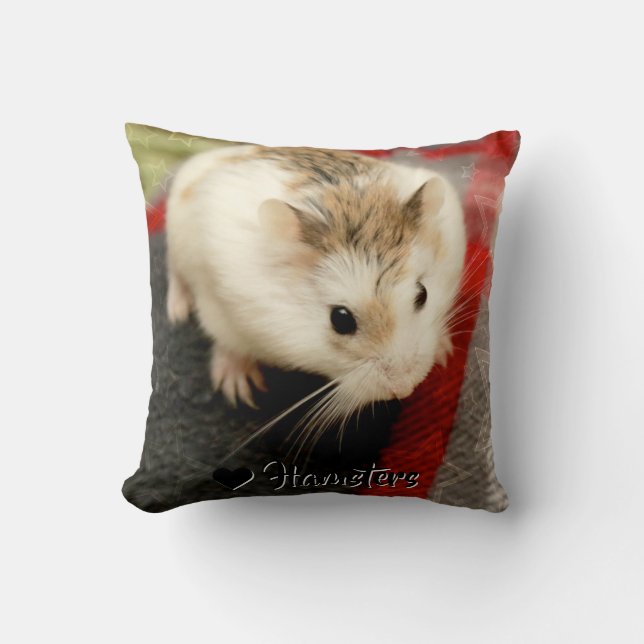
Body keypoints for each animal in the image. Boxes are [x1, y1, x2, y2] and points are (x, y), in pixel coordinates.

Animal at [165, 145, 466, 413]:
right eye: (340, 320)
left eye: (422, 294)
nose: (405, 389)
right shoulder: (218, 307)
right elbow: (228, 343)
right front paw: (239, 391)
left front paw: (444, 352)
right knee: (175, 275)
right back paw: (177, 313)